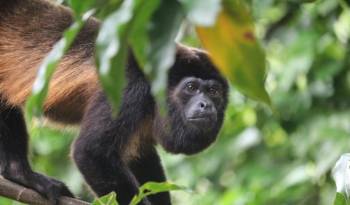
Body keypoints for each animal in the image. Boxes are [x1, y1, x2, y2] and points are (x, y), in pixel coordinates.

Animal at [0, 0, 230, 205]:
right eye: (191, 87)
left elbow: (140, 156)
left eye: (213, 91)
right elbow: (91, 151)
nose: (206, 105)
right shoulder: (130, 87)